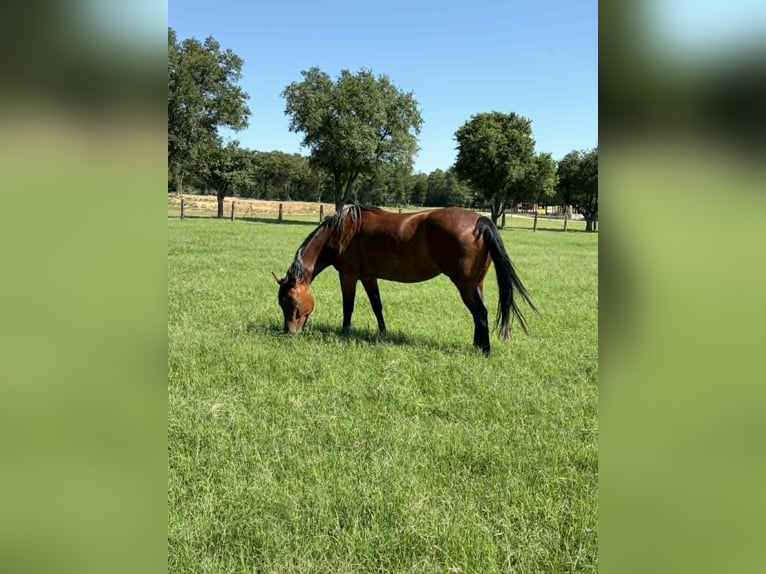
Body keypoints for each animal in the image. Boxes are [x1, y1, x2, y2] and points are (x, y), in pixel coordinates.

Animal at [272, 204, 537, 355]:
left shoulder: (348, 276)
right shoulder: (369, 277)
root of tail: (480, 221)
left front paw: (344, 333)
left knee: (480, 313)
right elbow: (377, 306)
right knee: (479, 314)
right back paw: (477, 346)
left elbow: (348, 307)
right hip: (476, 284)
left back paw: (484, 351)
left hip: (466, 285)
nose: (289, 332)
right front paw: (382, 333)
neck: (342, 231)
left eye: (292, 303)